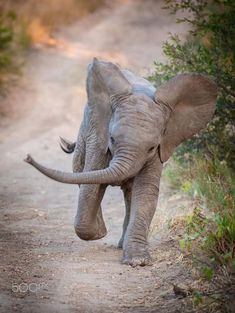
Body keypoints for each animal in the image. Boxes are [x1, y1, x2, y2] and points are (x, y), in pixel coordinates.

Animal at [24, 58, 218, 266]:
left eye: (151, 148)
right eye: (112, 139)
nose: (28, 157)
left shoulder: (161, 148)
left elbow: (145, 191)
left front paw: (138, 261)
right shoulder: (98, 138)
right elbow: (92, 184)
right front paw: (100, 233)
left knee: (130, 193)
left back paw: (121, 244)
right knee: (82, 174)